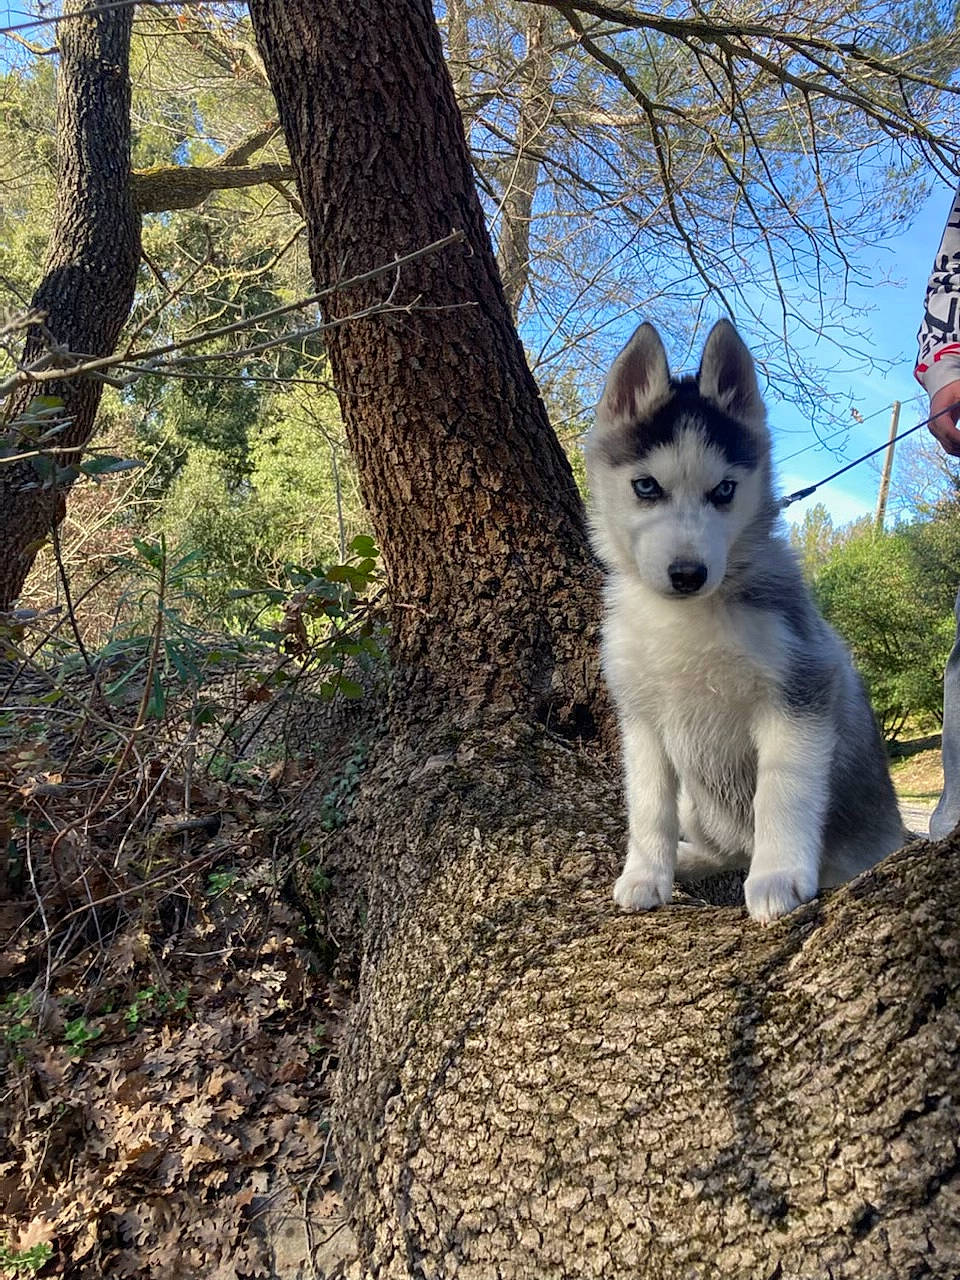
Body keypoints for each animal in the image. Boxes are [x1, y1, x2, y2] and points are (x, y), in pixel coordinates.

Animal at [585, 318, 905, 923]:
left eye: (725, 490)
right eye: (646, 486)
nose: (688, 574)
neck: (685, 619)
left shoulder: (801, 688)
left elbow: (781, 793)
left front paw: (777, 876)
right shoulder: (642, 718)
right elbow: (648, 805)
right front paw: (645, 873)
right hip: (698, 801)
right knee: (721, 844)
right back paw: (689, 859)